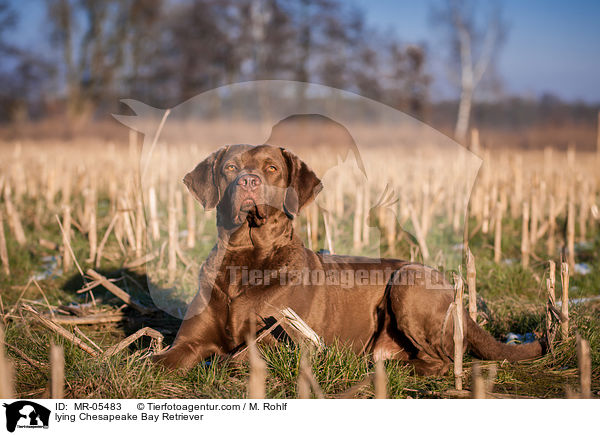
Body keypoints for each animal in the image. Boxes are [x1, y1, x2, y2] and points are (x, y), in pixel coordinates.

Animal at [154, 145, 544, 376]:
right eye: (230, 166)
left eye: (272, 168)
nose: (247, 181)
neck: (246, 259)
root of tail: (458, 298)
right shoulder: (187, 342)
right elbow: (155, 360)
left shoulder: (278, 343)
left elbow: (234, 359)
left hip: (409, 282)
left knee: (444, 361)